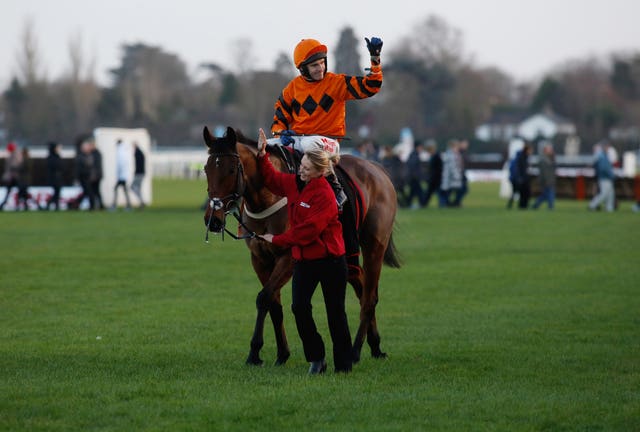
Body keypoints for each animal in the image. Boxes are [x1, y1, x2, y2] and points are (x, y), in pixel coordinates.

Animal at [202, 126, 400, 366]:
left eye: (231, 170)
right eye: (206, 169)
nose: (213, 220)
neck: (267, 199)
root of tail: (377, 169)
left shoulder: (289, 257)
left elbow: (264, 297)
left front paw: (254, 352)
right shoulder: (259, 258)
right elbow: (273, 303)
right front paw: (281, 353)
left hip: (374, 245)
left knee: (369, 298)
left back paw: (354, 352)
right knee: (361, 286)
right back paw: (375, 346)